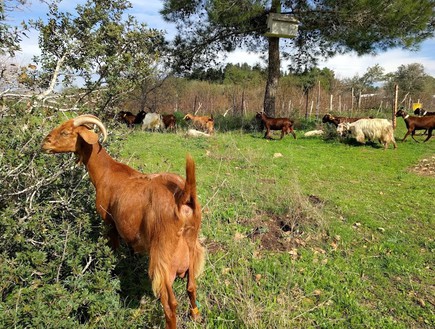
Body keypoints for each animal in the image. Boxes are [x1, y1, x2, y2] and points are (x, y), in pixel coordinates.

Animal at [41, 114, 205, 328]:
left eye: (65, 132)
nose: (44, 143)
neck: (107, 172)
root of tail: (184, 196)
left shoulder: (109, 221)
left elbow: (113, 249)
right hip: (192, 250)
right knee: (191, 287)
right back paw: (196, 316)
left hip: (163, 259)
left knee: (171, 304)